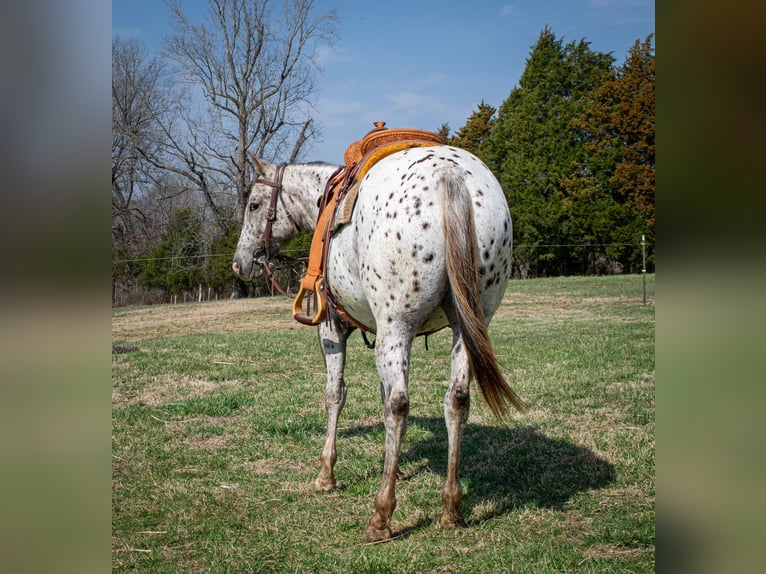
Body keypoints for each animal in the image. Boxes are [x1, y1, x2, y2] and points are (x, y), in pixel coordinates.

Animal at [232, 145, 525, 541]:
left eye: (254, 204)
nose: (239, 263)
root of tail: (450, 176)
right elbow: (383, 398)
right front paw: (394, 465)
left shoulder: (332, 329)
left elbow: (336, 395)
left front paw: (326, 474)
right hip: (466, 326)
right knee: (456, 400)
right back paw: (451, 508)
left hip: (396, 325)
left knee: (400, 404)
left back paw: (381, 514)